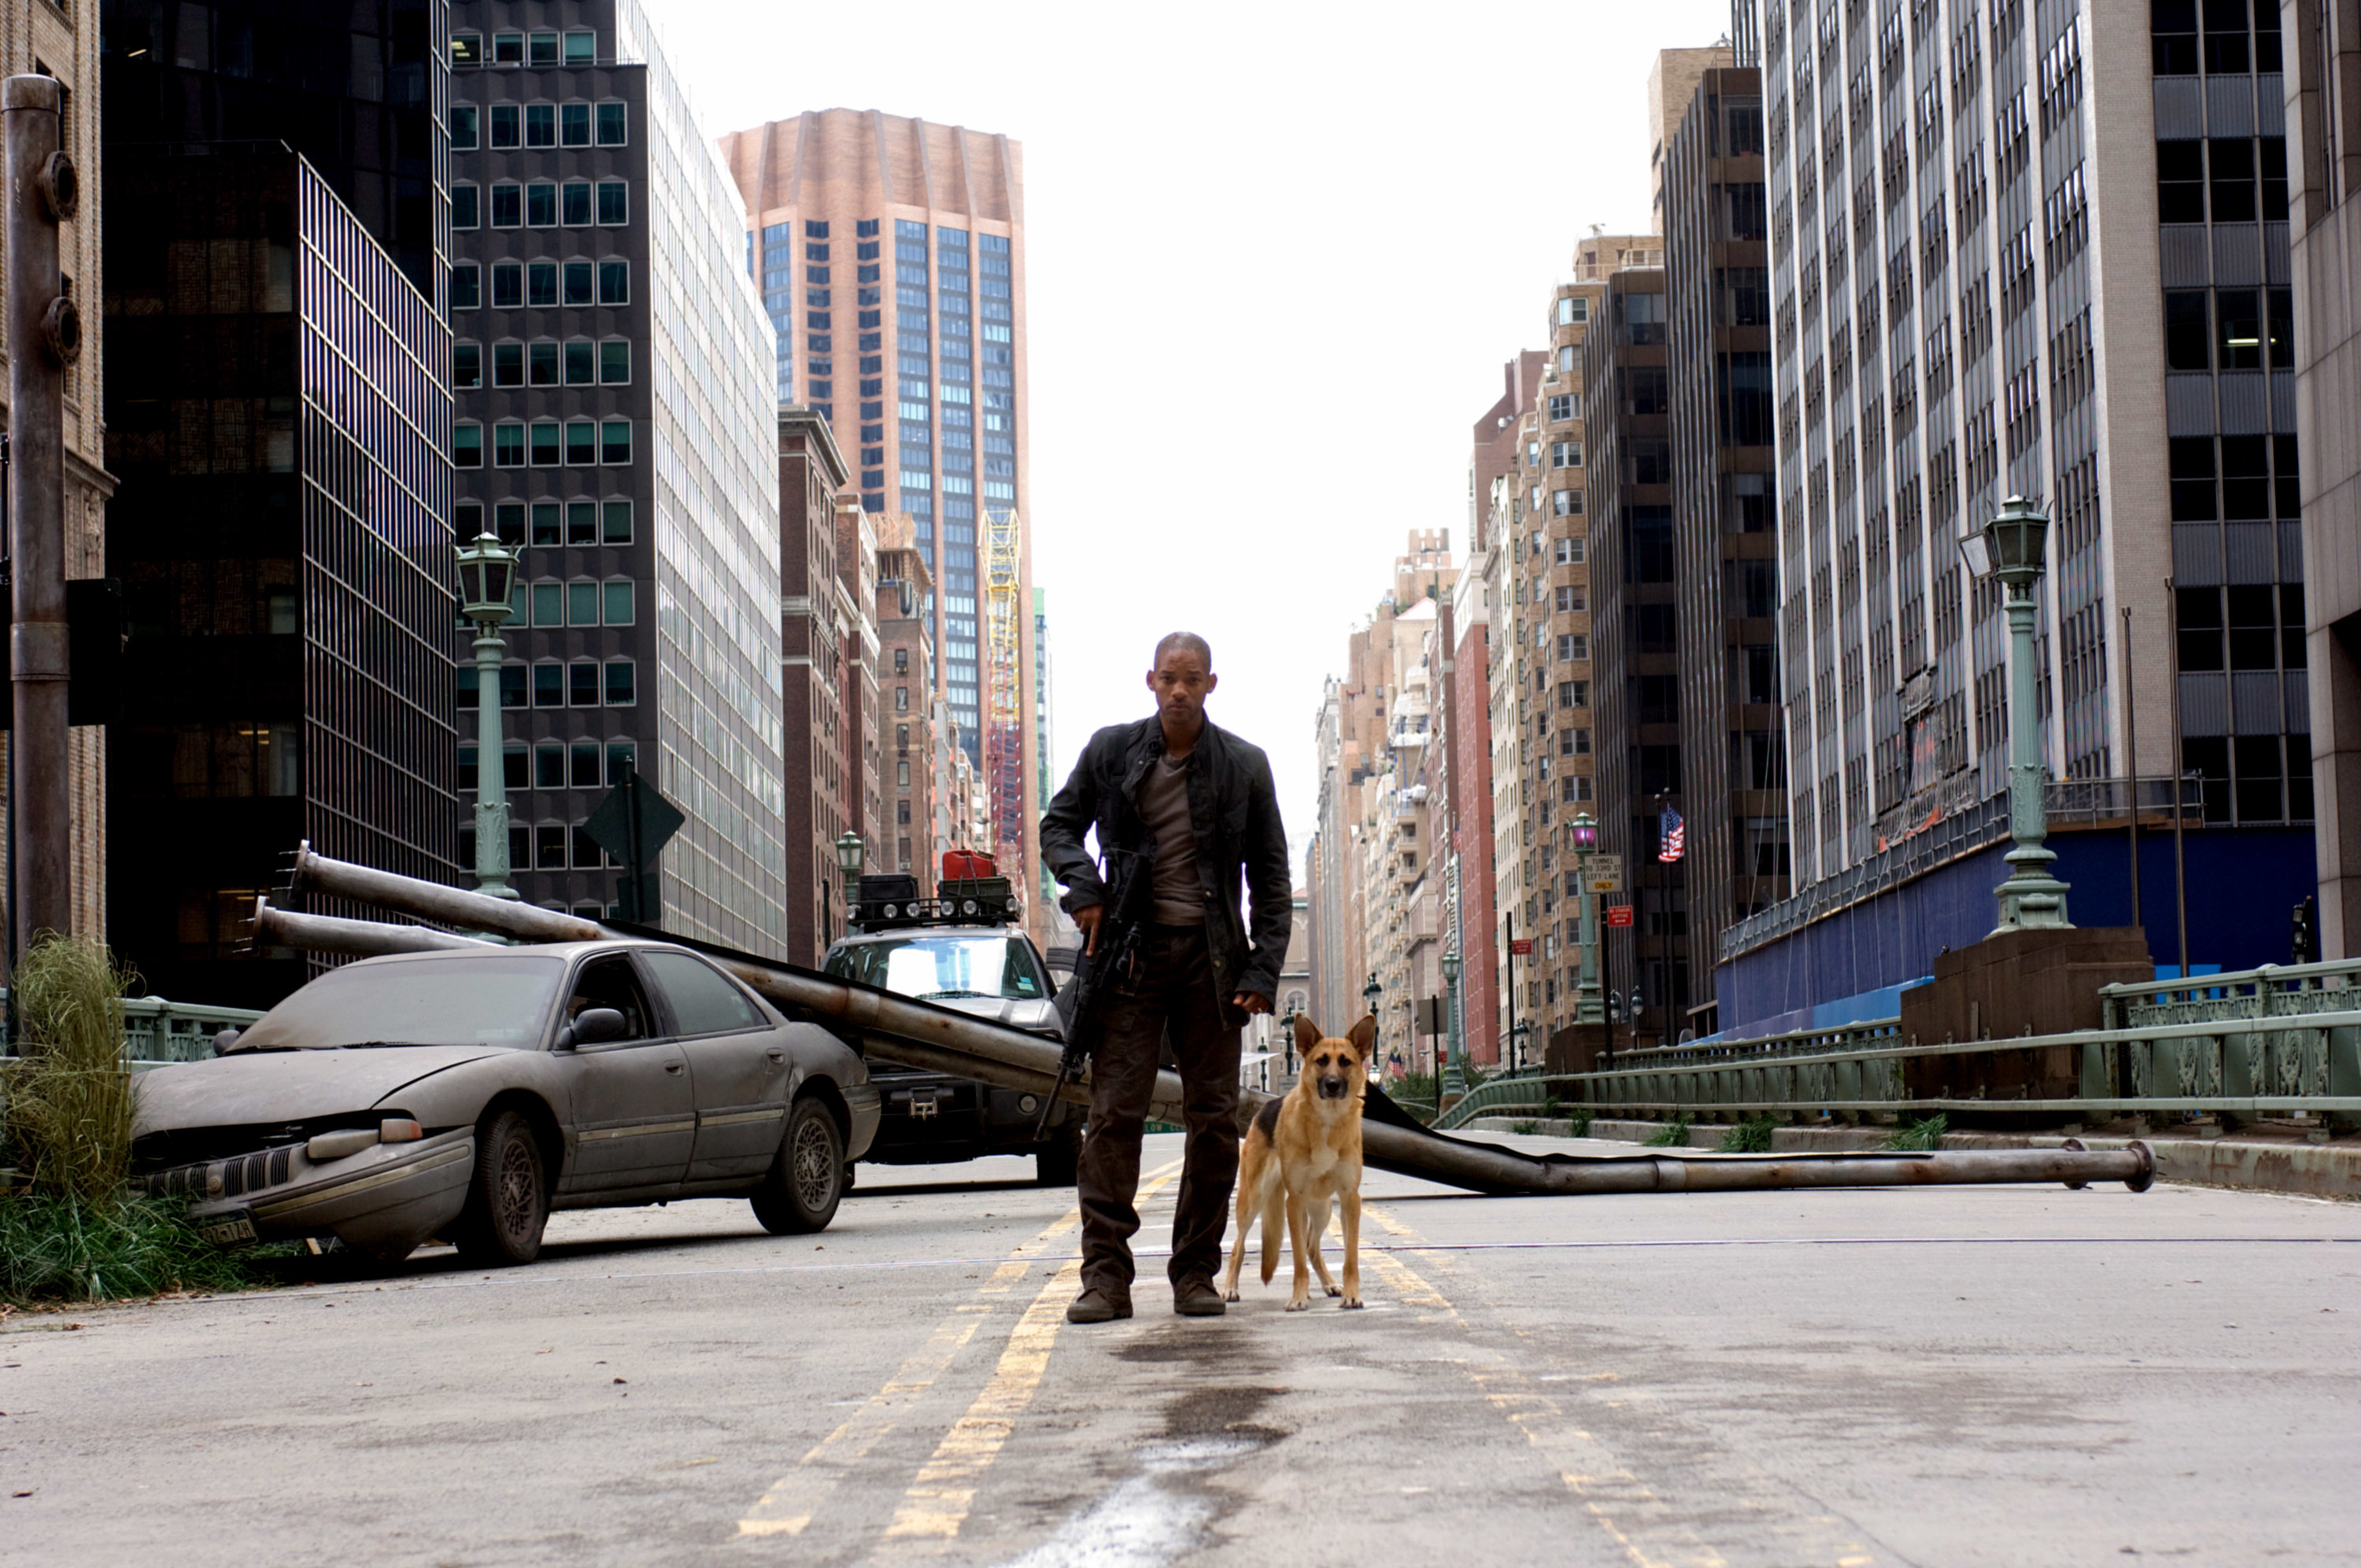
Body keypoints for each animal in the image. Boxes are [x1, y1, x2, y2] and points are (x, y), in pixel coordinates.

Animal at [1228, 1015, 1379, 1312]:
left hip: (1322, 1209)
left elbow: (1350, 1257)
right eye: (1321, 1061)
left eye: (1346, 1062)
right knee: (1239, 1246)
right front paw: (1298, 1296)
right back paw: (1230, 1288)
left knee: (1312, 1246)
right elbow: (1297, 1259)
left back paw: (1329, 1284)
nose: (1332, 1084)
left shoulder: (1350, 1199)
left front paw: (1351, 1295)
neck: (1327, 1121)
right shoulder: (1294, 1201)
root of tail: (1266, 1105)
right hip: (1252, 1200)